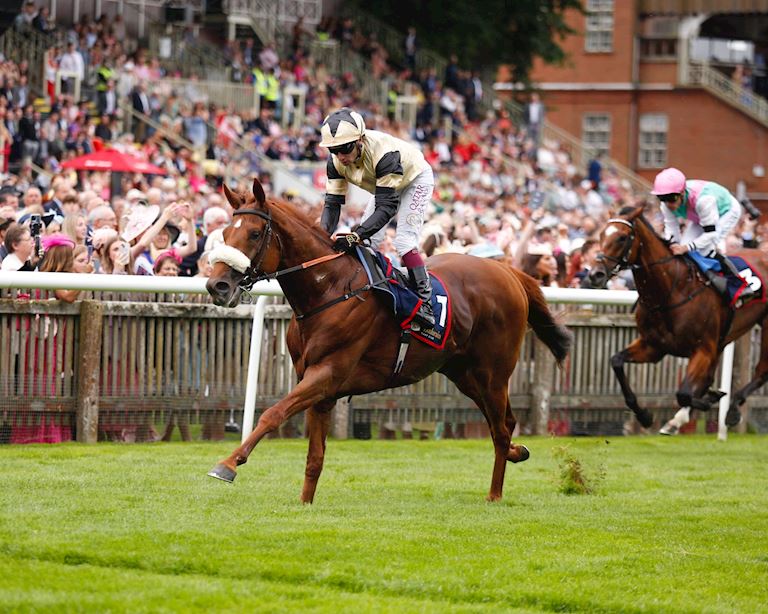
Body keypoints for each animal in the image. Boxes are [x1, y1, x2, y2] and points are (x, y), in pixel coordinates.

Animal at [204, 179, 568, 506]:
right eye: (224, 234)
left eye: (253, 234)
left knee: (500, 430)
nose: (216, 285)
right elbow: (315, 456)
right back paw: (517, 452)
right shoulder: (319, 385)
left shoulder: (327, 373)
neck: (328, 290)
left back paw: (495, 493)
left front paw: (227, 464)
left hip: (492, 373)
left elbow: (273, 413)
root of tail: (510, 273)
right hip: (465, 374)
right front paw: (305, 503)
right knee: (505, 422)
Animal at [588, 205, 768, 436]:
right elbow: (616, 361)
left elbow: (683, 393)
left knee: (762, 371)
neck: (670, 291)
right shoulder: (654, 346)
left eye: (622, 237)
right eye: (601, 234)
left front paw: (711, 400)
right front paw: (644, 416)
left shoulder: (702, 350)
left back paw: (733, 410)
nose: (595, 274)